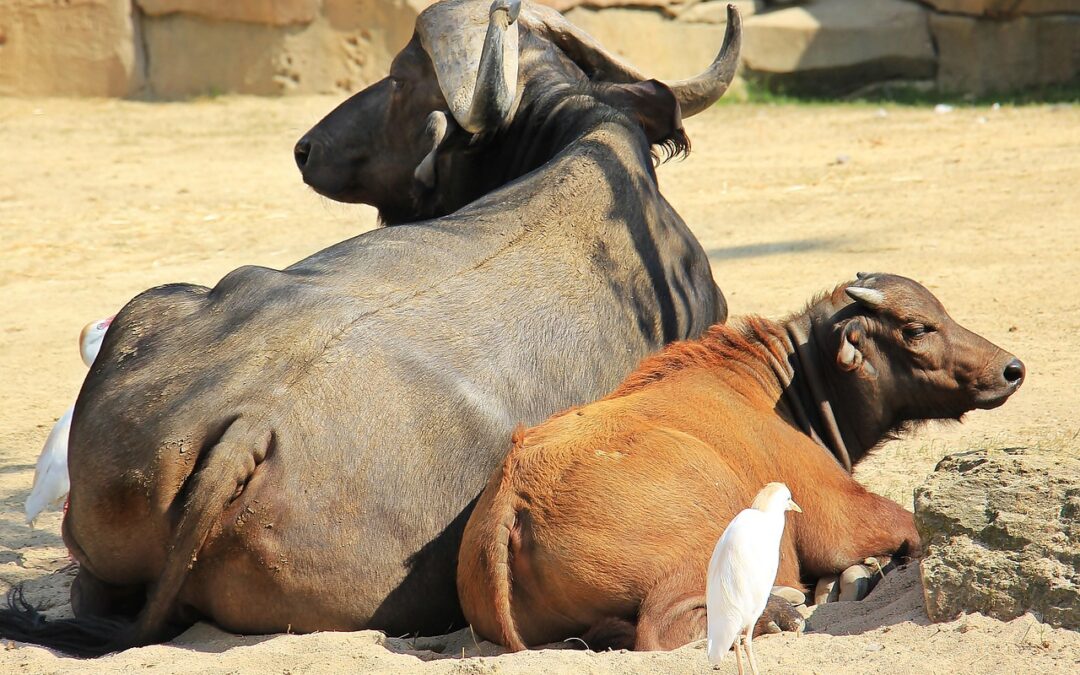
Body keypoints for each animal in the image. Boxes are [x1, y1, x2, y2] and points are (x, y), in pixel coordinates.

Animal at [455, 271, 1019, 652]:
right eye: (917, 328)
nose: (1010, 368)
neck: (781, 390)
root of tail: (516, 495)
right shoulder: (841, 515)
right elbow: (906, 525)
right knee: (662, 628)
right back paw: (778, 613)